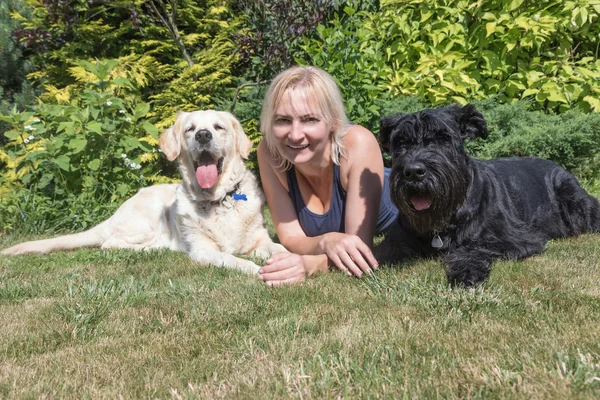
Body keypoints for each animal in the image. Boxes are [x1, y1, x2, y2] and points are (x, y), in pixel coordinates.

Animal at [0, 110, 286, 276]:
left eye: (219, 127)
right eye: (190, 129)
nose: (203, 136)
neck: (218, 199)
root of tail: (114, 214)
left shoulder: (261, 238)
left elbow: (279, 249)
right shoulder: (203, 250)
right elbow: (233, 260)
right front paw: (255, 269)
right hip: (145, 222)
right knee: (110, 243)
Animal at [380, 104, 600, 286]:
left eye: (442, 139)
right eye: (401, 142)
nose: (413, 171)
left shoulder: (516, 239)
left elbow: (472, 249)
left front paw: (466, 272)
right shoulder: (396, 241)